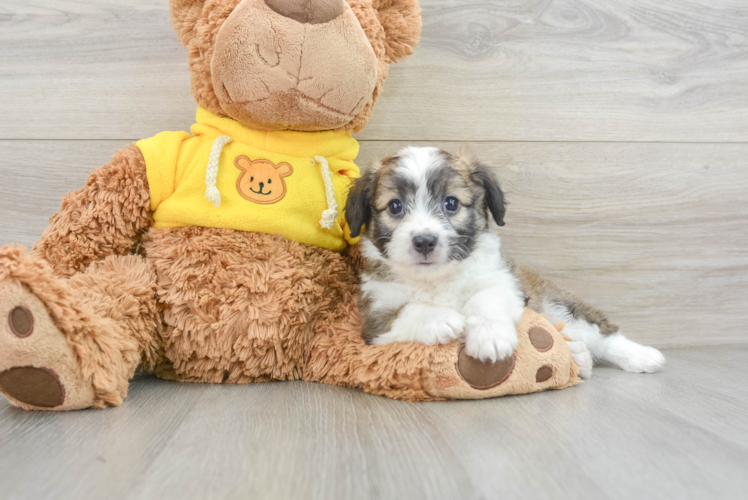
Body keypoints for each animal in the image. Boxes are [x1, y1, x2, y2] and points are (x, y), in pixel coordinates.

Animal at [344, 146, 668, 376]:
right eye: (395, 206)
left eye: (451, 203)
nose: (424, 241)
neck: (436, 279)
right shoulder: (375, 323)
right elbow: (407, 311)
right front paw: (440, 319)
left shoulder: (503, 282)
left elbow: (485, 299)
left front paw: (490, 335)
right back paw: (580, 357)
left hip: (563, 307)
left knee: (604, 335)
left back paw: (641, 356)